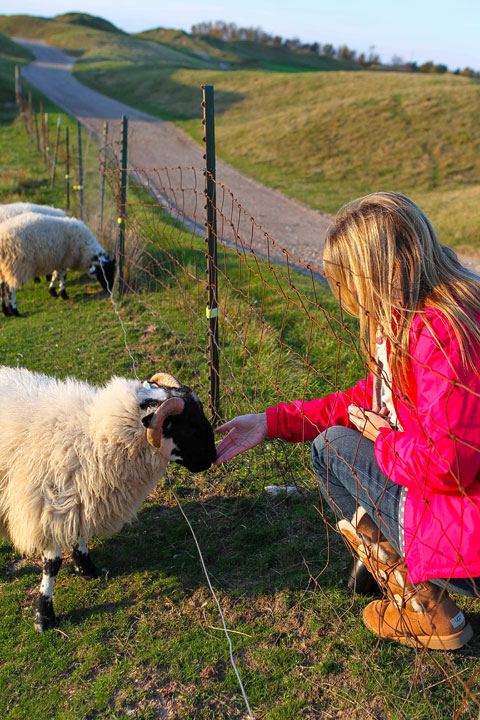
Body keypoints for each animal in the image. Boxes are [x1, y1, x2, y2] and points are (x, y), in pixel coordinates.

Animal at [0, 368, 216, 632]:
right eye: (188, 425)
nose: (212, 457)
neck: (92, 437)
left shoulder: (79, 496)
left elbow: (79, 533)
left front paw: (86, 568)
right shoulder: (45, 510)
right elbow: (52, 565)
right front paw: (43, 615)